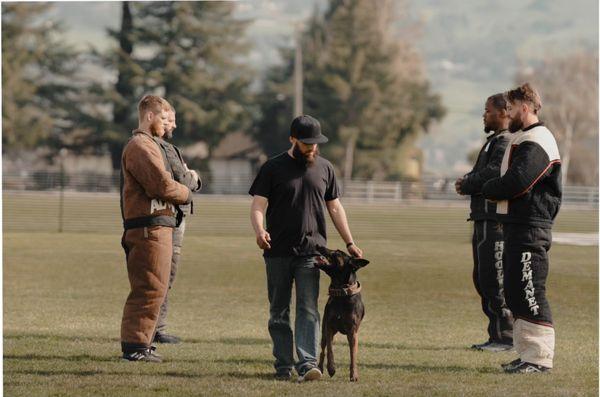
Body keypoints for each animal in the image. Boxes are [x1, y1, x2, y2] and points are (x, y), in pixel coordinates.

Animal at [314, 244, 370, 380]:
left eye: (337, 253)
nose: (318, 245)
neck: (342, 294)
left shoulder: (353, 332)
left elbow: (353, 355)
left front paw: (354, 374)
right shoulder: (329, 327)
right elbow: (330, 350)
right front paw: (331, 368)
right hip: (324, 332)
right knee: (323, 350)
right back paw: (320, 368)